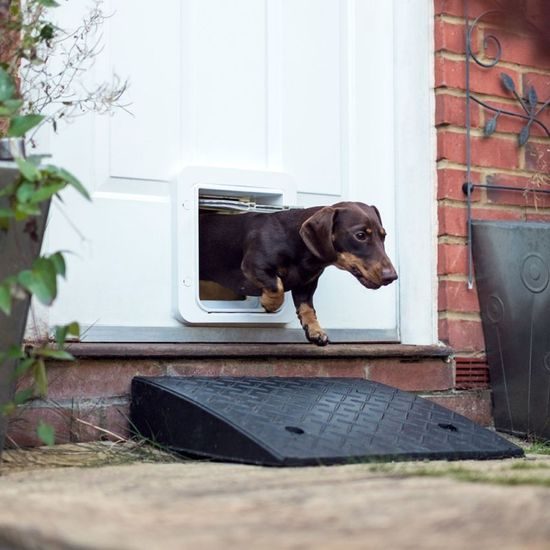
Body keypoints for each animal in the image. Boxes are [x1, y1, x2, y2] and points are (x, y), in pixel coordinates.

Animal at [201, 203, 398, 348]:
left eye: (384, 236)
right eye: (360, 235)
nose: (392, 277)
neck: (294, 241)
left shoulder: (306, 284)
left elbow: (307, 308)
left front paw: (315, 331)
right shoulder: (253, 265)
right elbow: (277, 287)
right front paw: (270, 304)